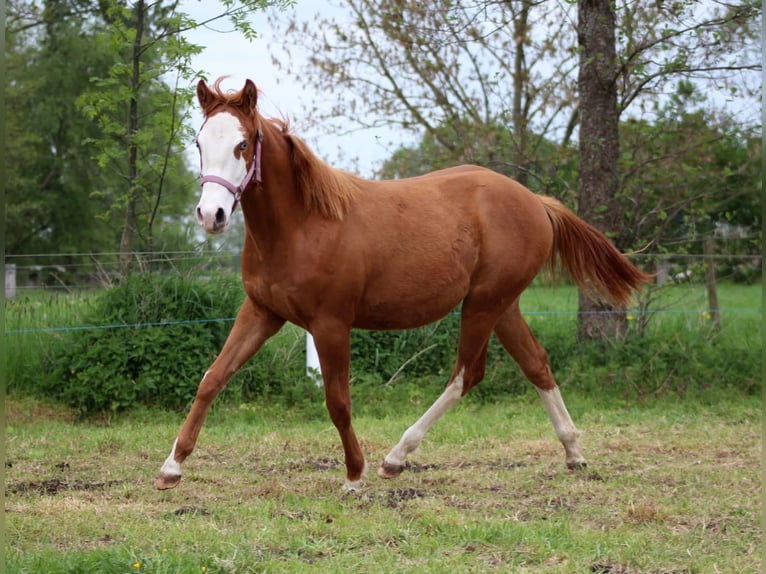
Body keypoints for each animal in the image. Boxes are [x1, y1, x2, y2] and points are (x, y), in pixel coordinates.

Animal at [155, 78, 651, 491]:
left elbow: (338, 401)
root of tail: (535, 201)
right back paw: (573, 451)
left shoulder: (330, 324)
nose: (211, 215)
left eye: (242, 143)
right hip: (503, 304)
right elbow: (212, 378)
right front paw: (171, 467)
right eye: (199, 141)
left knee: (467, 374)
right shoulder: (262, 312)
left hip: (484, 303)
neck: (302, 225)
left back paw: (396, 457)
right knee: (537, 365)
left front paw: (354, 475)